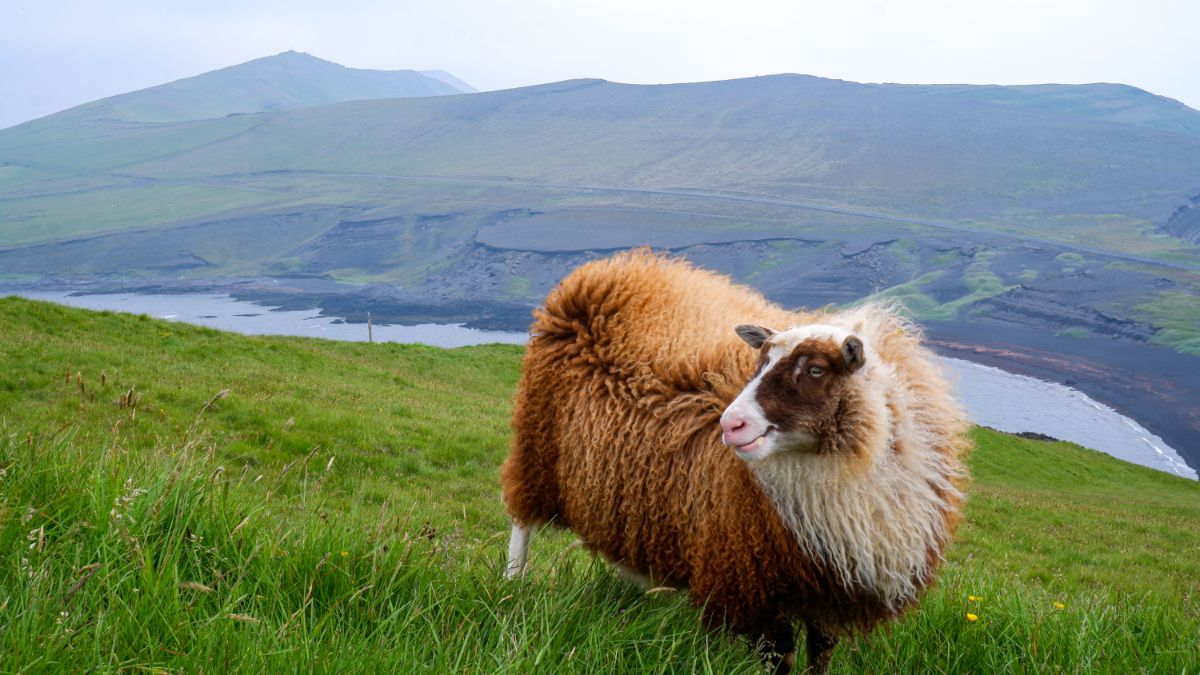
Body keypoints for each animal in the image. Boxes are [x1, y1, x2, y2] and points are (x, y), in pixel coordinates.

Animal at [501, 250, 970, 673]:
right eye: (759, 363)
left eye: (816, 370)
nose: (730, 423)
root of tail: (606, 271)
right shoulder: (753, 581)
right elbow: (779, 659)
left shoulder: (828, 587)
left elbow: (820, 655)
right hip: (537, 441)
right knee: (521, 521)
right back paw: (512, 586)